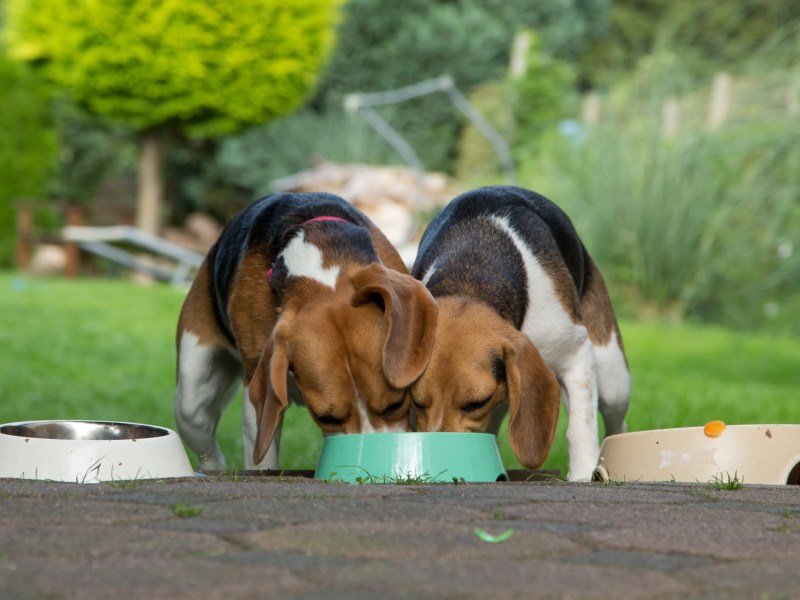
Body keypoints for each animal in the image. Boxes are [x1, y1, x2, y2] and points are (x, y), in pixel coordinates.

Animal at [412, 185, 632, 480]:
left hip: (613, 378)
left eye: (476, 402)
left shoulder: (575, 355)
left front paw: (583, 472)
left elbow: (580, 425)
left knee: (616, 423)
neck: (469, 278)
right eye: (417, 403)